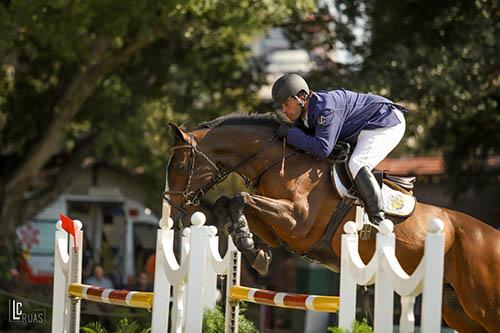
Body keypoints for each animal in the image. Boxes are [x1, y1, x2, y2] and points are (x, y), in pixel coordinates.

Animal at [166, 113, 500, 330]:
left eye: (180, 165)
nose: (175, 210)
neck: (282, 164)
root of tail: (491, 235)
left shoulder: (297, 223)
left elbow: (240, 199)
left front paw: (249, 243)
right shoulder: (280, 230)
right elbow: (230, 203)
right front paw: (254, 249)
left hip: (483, 305)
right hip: (457, 309)